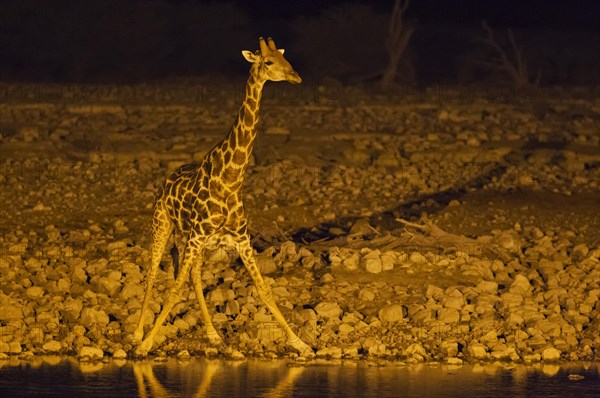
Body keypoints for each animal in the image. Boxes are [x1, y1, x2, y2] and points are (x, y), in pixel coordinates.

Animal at [133, 37, 312, 358]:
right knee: (153, 272)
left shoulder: (240, 240)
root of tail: (165, 181)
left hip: (193, 242)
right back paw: (137, 332)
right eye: (268, 61)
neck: (230, 180)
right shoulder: (197, 238)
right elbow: (174, 290)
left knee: (194, 276)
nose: (296, 76)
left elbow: (264, 289)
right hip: (163, 226)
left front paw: (300, 343)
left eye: (283, 57)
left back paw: (214, 336)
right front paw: (145, 345)